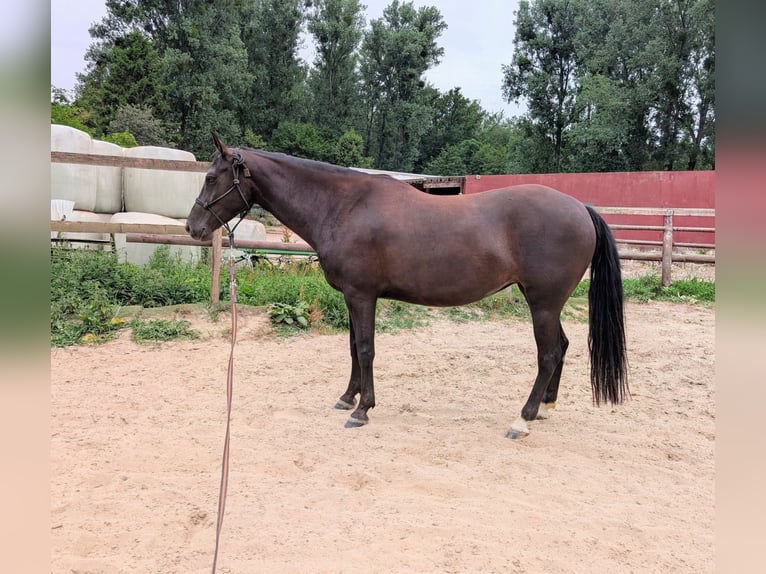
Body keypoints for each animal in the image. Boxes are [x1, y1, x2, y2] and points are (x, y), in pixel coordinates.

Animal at [186, 133, 628, 439]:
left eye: (210, 177)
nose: (193, 227)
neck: (343, 206)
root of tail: (581, 208)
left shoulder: (362, 295)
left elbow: (366, 349)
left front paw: (362, 410)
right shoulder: (352, 298)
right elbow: (353, 348)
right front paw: (347, 397)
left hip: (543, 303)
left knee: (549, 354)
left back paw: (523, 418)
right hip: (547, 303)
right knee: (563, 347)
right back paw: (546, 408)